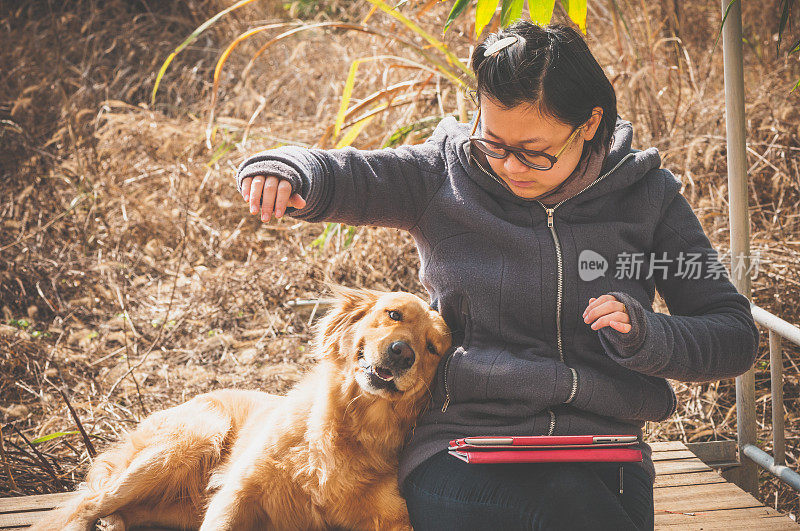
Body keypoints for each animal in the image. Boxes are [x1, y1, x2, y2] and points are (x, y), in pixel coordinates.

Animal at [31, 286, 450, 531]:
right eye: (394, 314)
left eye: (432, 348)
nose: (402, 353)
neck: (350, 429)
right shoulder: (239, 493)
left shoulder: (395, 519)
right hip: (194, 436)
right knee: (86, 505)